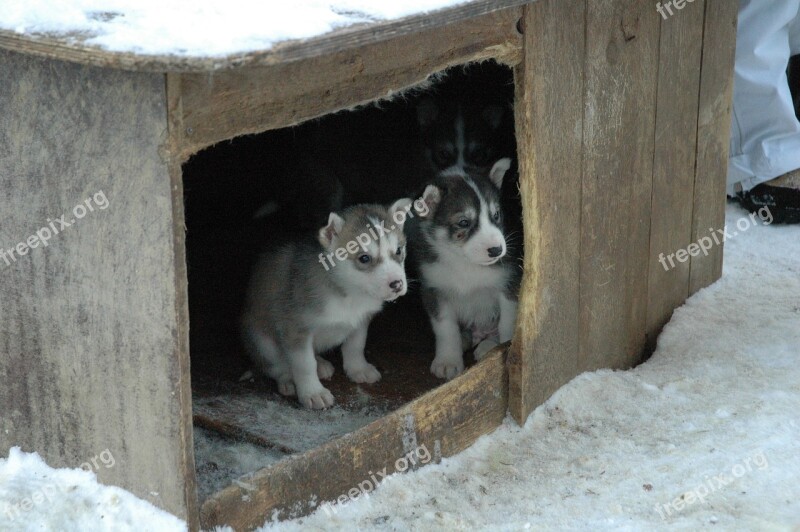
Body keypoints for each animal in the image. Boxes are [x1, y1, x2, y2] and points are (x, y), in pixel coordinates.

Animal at [242, 197, 412, 410]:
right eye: (364, 258)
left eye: (398, 250)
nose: (397, 284)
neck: (348, 294)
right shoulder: (295, 328)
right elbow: (304, 364)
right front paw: (313, 393)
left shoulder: (360, 320)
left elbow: (355, 345)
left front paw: (358, 368)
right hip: (261, 341)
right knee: (274, 365)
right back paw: (288, 380)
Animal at [406, 158, 520, 378]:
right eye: (464, 222)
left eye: (496, 215)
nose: (497, 250)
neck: (465, 262)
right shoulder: (434, 290)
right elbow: (445, 328)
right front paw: (448, 360)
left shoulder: (510, 285)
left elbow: (508, 323)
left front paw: (504, 347)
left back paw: (487, 346)